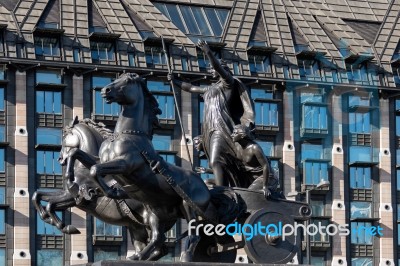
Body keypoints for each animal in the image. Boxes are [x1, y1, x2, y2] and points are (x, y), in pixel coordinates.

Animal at [66, 73, 212, 262]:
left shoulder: (126, 164)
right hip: (156, 212)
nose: (105, 90)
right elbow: (78, 154)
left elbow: (95, 170)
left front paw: (112, 191)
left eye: (127, 81)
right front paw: (71, 183)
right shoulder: (101, 159)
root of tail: (205, 187)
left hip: (187, 205)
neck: (128, 135)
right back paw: (138, 256)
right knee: (158, 238)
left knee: (192, 235)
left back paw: (184, 257)